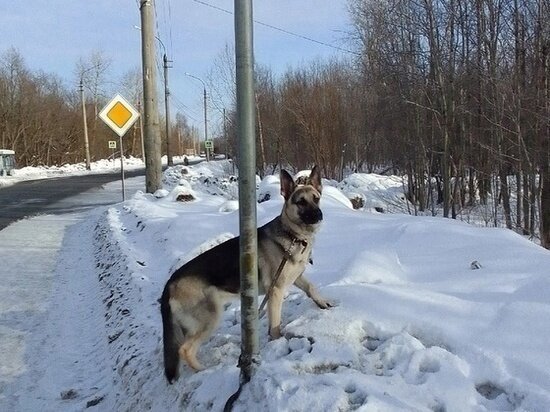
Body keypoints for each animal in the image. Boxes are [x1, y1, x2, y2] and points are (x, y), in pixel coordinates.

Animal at [160, 167, 332, 384]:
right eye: (300, 202)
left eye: (316, 199)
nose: (318, 214)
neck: (293, 236)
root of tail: (169, 283)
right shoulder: (276, 291)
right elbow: (275, 325)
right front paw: (276, 342)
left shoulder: (295, 276)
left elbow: (311, 287)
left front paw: (323, 303)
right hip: (210, 318)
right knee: (185, 349)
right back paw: (205, 370)